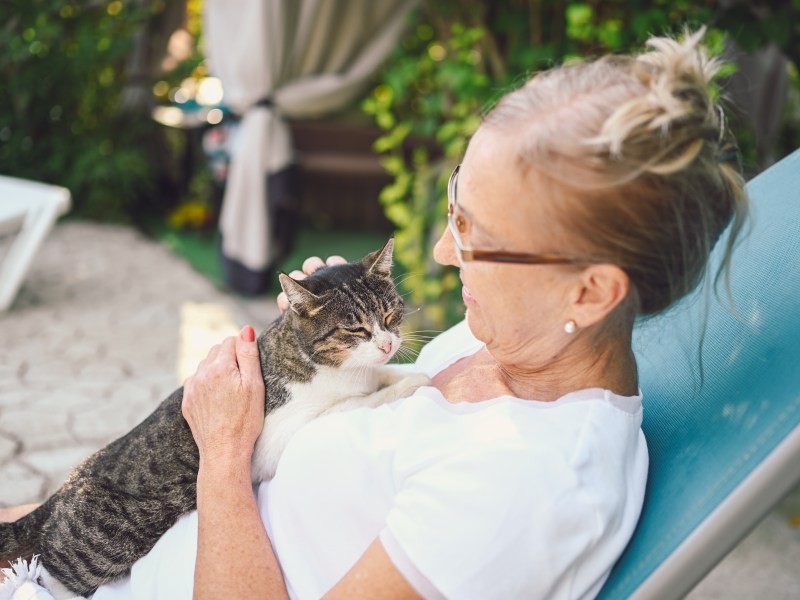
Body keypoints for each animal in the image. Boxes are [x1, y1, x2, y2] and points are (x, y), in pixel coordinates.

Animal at [0, 238, 428, 596]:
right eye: (356, 329)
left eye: (391, 314)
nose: (387, 344)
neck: (336, 369)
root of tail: (62, 490)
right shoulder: (278, 433)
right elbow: (350, 404)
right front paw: (411, 383)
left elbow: (380, 379)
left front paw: (405, 374)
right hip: (105, 544)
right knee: (48, 570)